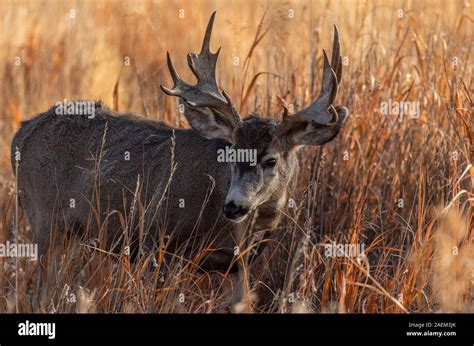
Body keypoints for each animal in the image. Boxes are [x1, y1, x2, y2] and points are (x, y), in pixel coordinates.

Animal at [11, 11, 348, 306]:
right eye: (230, 153)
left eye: (271, 161)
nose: (234, 206)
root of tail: (22, 133)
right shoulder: (155, 244)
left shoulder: (238, 266)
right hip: (46, 221)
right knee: (40, 292)